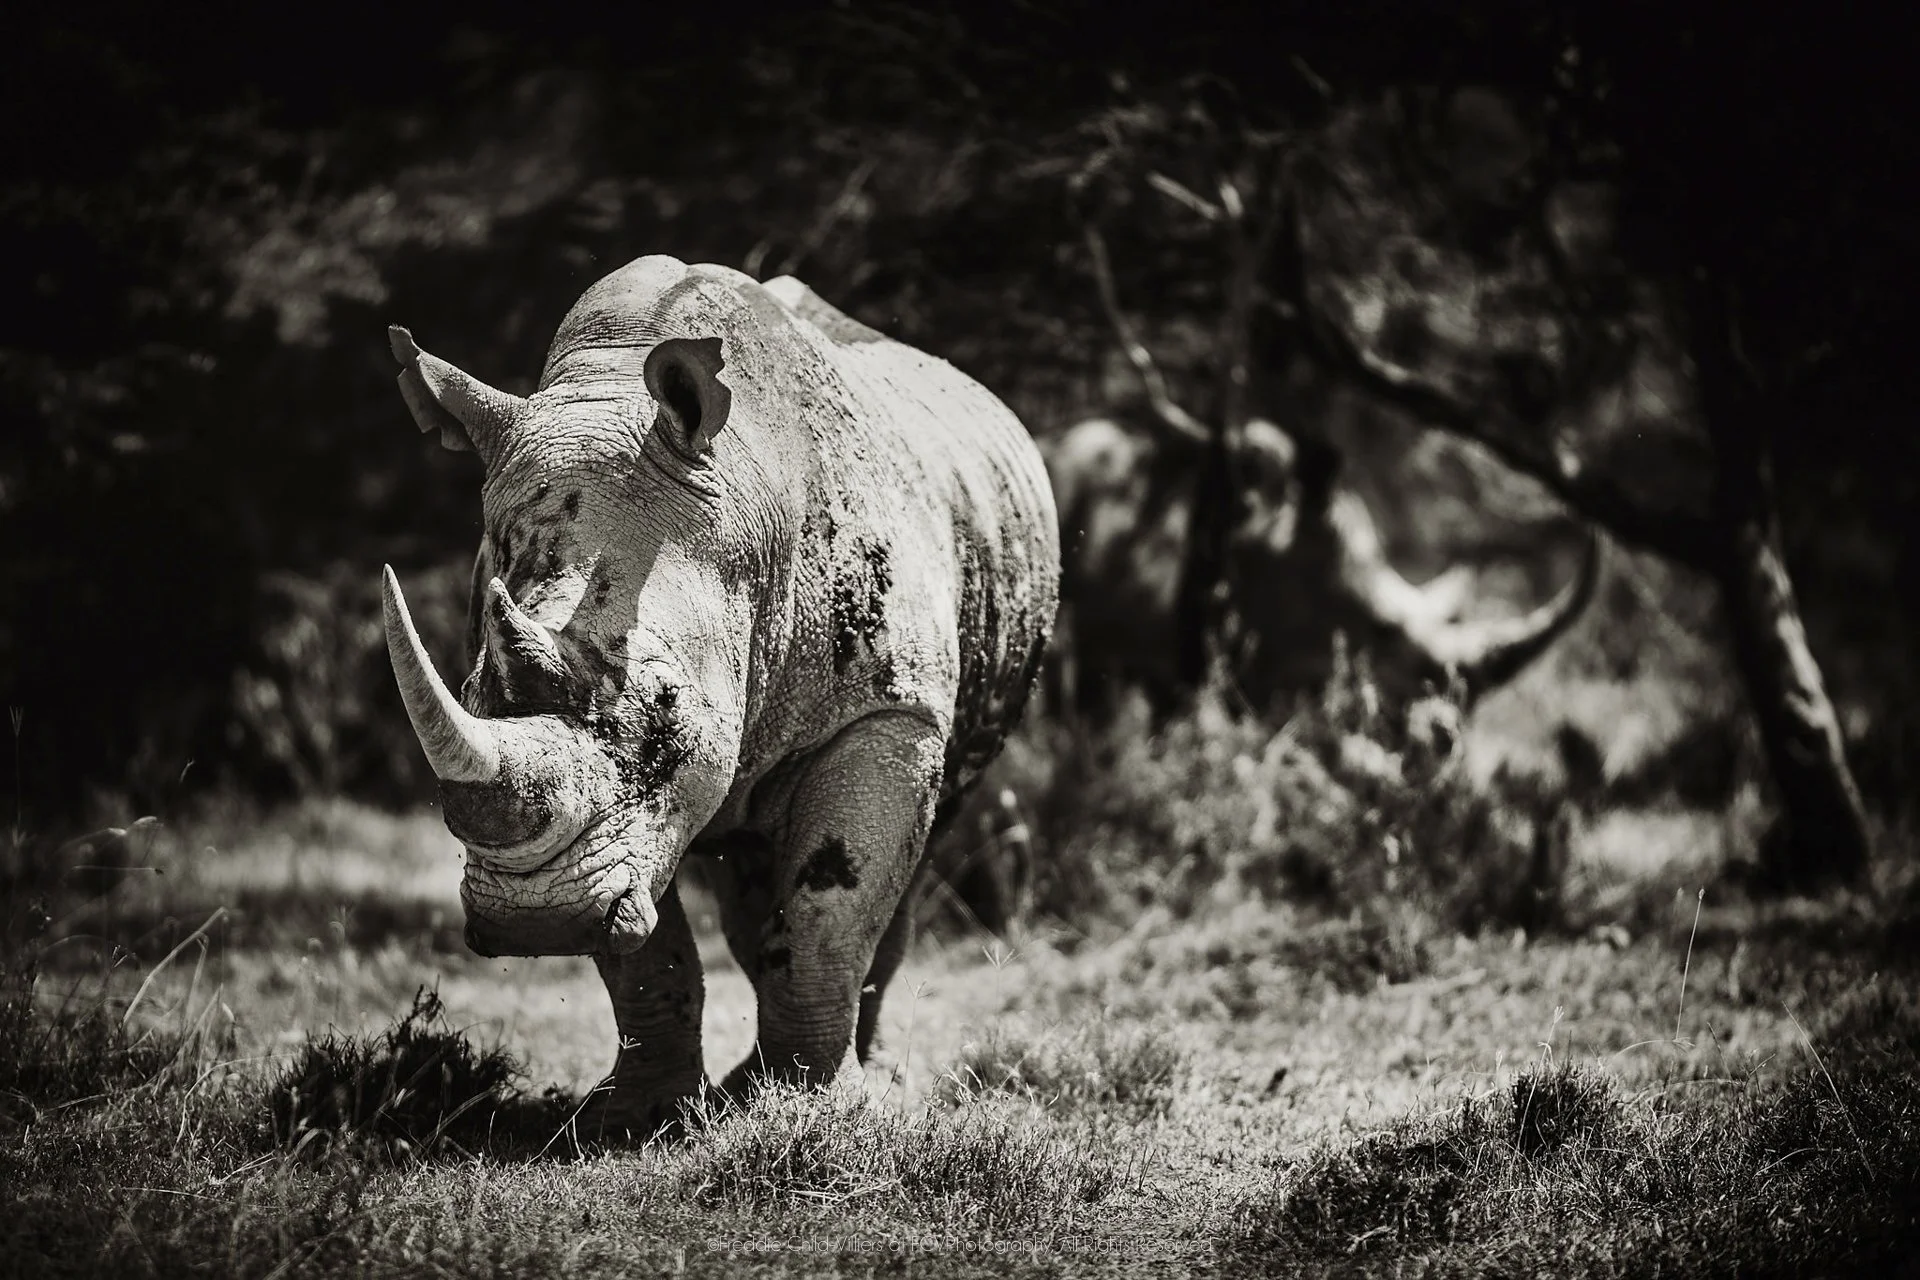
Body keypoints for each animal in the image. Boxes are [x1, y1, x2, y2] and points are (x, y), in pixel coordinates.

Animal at [379, 256, 1059, 1137]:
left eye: (667, 701)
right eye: (469, 690)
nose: (532, 921)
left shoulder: (887, 712)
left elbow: (832, 909)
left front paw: (821, 1108)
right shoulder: (627, 818)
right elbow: (646, 951)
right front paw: (638, 1115)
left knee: (911, 863)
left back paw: (868, 1078)